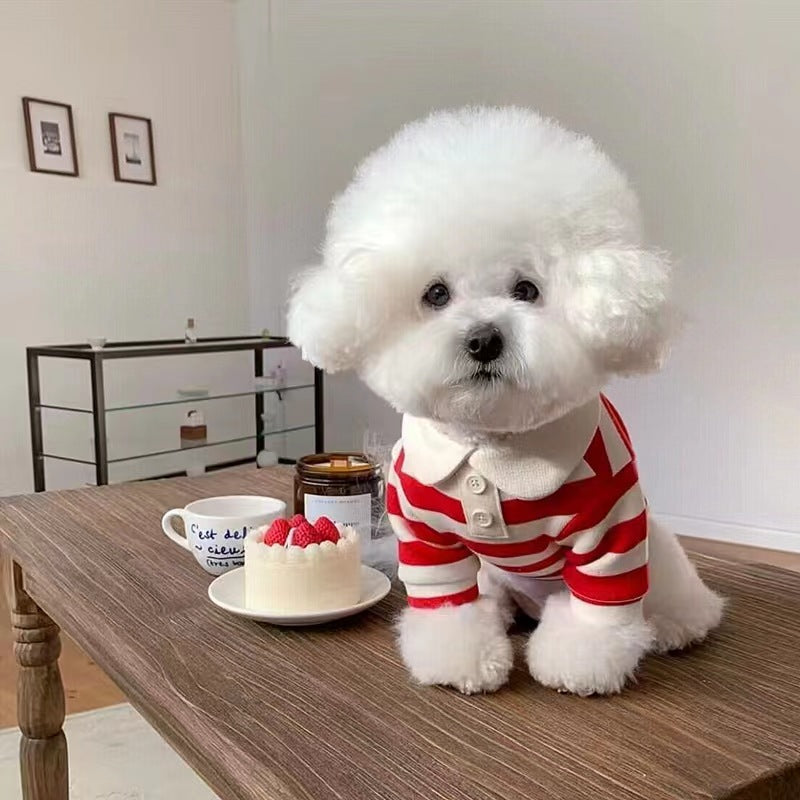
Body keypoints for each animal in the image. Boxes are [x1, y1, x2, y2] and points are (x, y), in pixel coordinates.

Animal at [290, 106, 724, 692]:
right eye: (436, 293)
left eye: (527, 290)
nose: (482, 340)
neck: (490, 447)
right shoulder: (425, 536)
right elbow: (447, 603)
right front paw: (461, 659)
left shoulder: (612, 528)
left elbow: (598, 607)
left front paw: (581, 662)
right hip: (494, 573)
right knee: (490, 592)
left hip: (655, 549)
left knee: (670, 594)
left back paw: (679, 623)